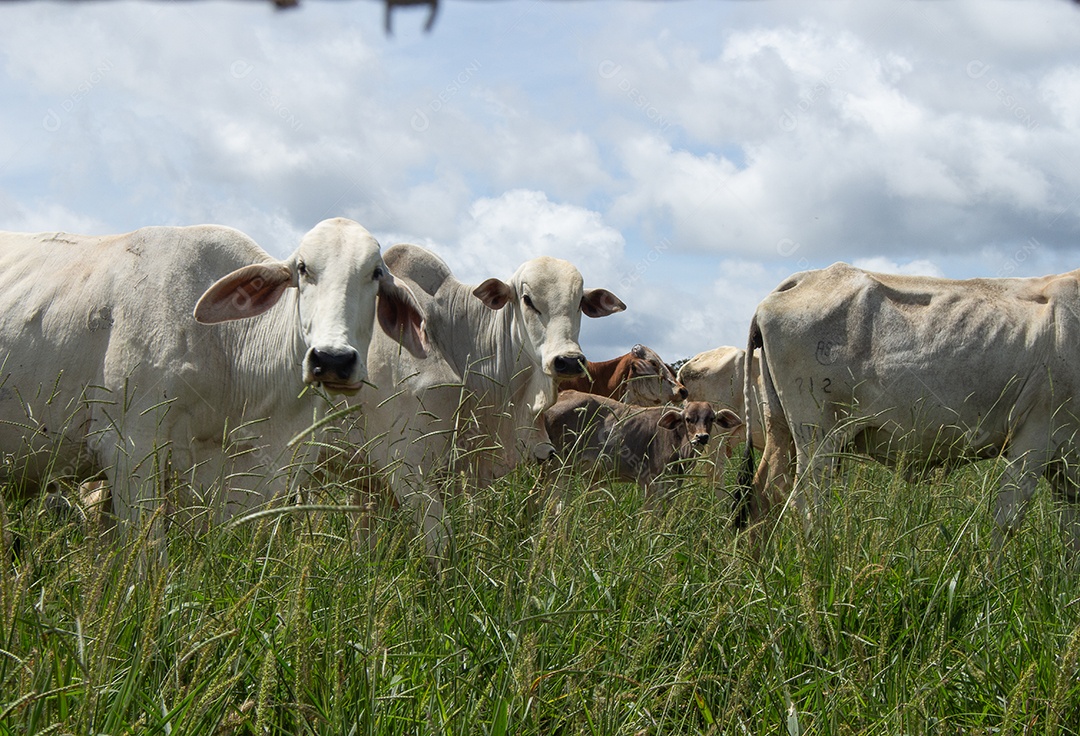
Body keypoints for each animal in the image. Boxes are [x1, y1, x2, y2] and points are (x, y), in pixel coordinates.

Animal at [738, 261, 1080, 549]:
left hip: (783, 429)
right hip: (817, 435)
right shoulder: (1034, 438)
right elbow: (1006, 522)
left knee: (764, 496)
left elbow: (1070, 537)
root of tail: (805, 278)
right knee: (806, 505)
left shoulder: (1067, 463)